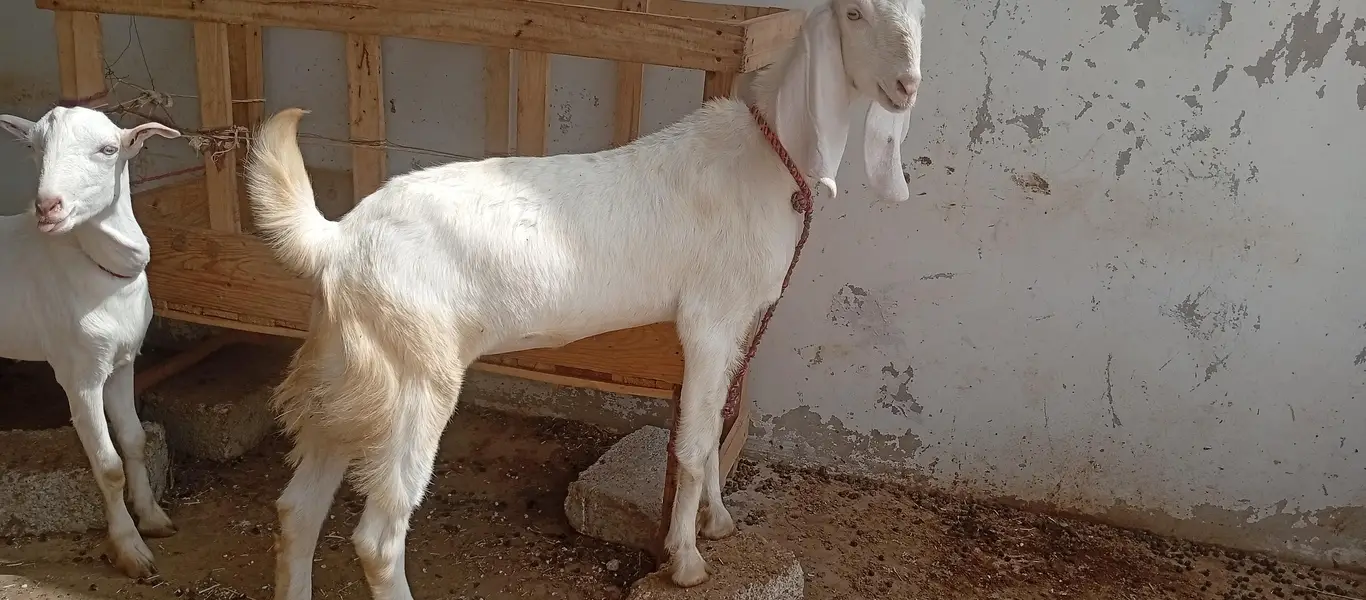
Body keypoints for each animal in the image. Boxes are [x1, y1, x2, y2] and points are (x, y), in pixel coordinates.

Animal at [0, 106, 181, 578]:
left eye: (109, 149)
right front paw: (130, 550)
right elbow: (108, 464)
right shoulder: (79, 373)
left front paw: (153, 518)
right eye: (34, 148)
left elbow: (134, 441)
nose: (47, 207)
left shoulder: (121, 361)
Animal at [247, 0, 923, 597]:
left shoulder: (737, 325)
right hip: (412, 378)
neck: (768, 159)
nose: (907, 85)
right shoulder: (707, 319)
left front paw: (719, 522)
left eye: (919, 14)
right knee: (378, 540)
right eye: (854, 14)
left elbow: (714, 430)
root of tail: (336, 241)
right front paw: (686, 562)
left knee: (297, 509)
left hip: (344, 379)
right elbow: (694, 444)